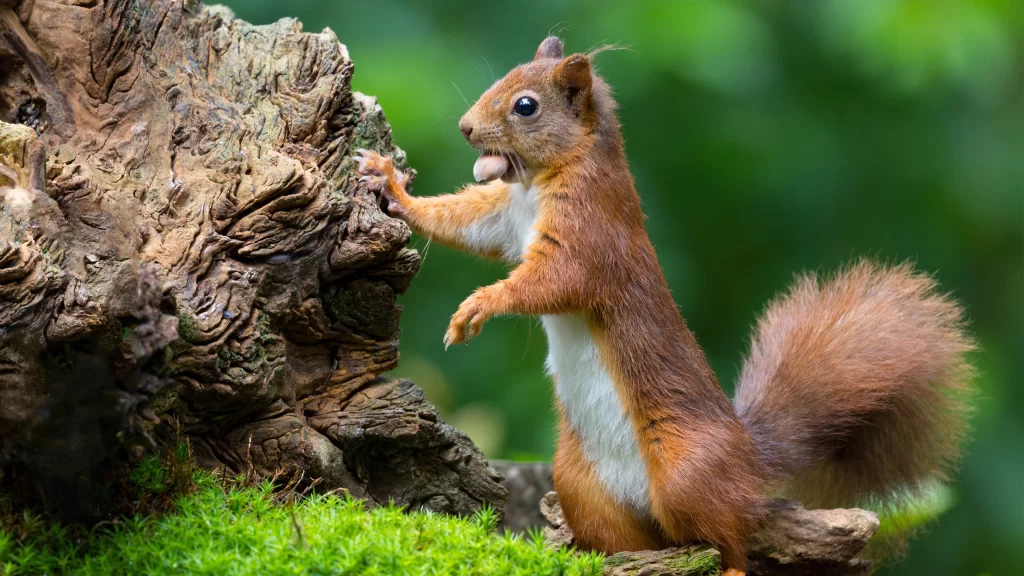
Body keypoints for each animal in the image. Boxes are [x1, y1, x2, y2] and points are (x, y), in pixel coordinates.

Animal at [355, 36, 975, 575]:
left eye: (525, 105)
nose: (465, 127)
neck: (543, 180)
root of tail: (750, 460)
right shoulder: (504, 217)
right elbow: (463, 222)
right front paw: (392, 186)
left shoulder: (589, 236)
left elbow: (552, 282)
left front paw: (478, 306)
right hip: (580, 484)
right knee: (641, 539)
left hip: (686, 471)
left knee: (732, 536)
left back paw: (728, 560)